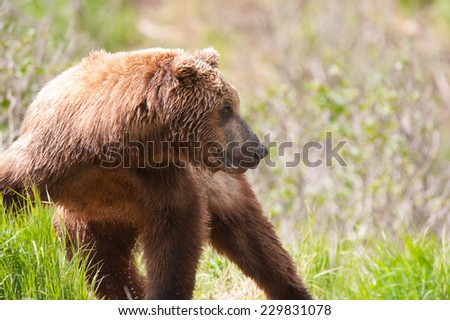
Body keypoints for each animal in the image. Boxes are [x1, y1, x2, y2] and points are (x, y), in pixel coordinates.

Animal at [0, 47, 312, 300]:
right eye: (226, 108)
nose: (257, 148)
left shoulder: (160, 178)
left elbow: (175, 239)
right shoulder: (50, 154)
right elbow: (10, 186)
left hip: (221, 190)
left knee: (257, 245)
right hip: (90, 222)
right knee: (103, 265)